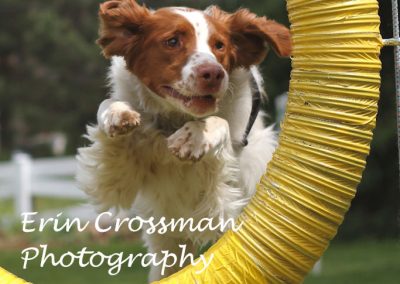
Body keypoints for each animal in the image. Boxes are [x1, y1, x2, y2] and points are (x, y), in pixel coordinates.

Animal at [76, 0, 292, 280]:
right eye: (172, 41)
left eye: (219, 45)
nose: (213, 74)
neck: (176, 118)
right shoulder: (118, 175)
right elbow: (107, 107)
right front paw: (117, 114)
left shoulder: (223, 196)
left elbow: (219, 123)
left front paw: (194, 138)